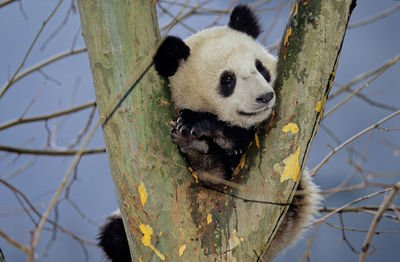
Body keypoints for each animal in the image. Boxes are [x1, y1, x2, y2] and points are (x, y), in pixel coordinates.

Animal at [98, 4, 320, 262]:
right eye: (228, 79)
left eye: (260, 67)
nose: (264, 97)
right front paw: (195, 132)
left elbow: (242, 140)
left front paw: (200, 127)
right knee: (113, 234)